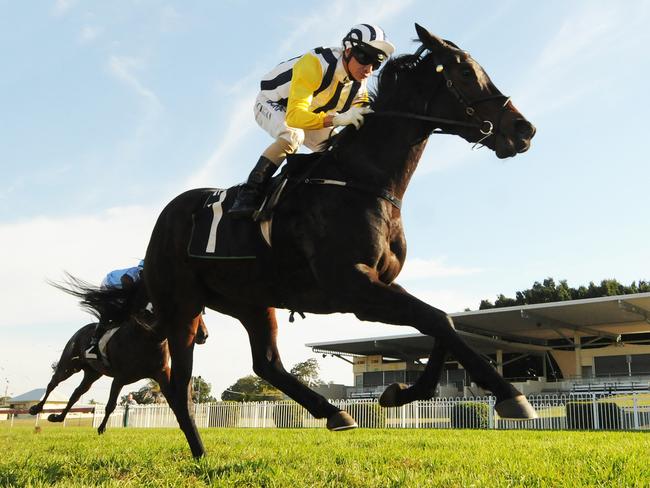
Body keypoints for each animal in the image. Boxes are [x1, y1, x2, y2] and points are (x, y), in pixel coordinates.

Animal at [29, 278, 208, 434]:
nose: (203, 335)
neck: (150, 337)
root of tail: (79, 331)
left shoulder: (160, 374)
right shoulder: (120, 377)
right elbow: (111, 405)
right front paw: (101, 428)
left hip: (92, 373)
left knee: (76, 393)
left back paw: (57, 417)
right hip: (69, 365)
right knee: (53, 383)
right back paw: (36, 408)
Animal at [146, 23, 536, 458]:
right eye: (466, 72)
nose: (523, 129)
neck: (361, 181)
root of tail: (166, 216)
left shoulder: (380, 282)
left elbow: (441, 323)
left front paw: (400, 392)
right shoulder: (354, 288)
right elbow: (437, 320)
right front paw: (511, 395)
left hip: (250, 301)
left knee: (266, 363)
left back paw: (333, 412)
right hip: (182, 304)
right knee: (180, 384)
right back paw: (200, 452)